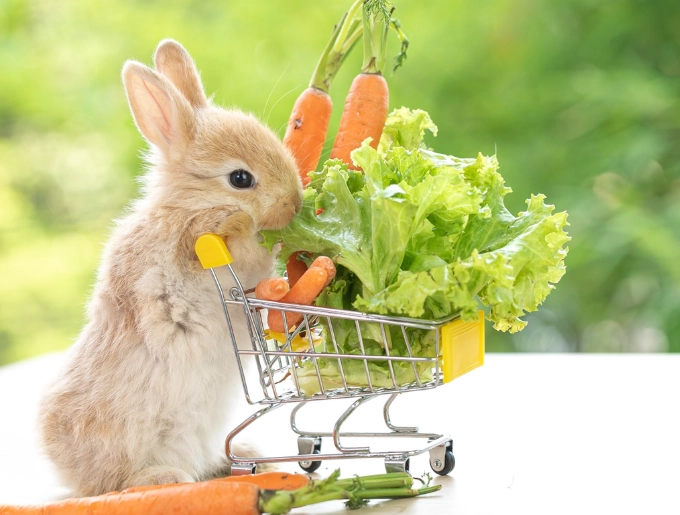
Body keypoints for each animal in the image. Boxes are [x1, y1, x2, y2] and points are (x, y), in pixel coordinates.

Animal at [37, 39, 303, 497]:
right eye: (240, 178)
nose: (297, 203)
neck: (190, 205)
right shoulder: (197, 248)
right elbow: (244, 246)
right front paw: (242, 224)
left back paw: (249, 456)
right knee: (113, 484)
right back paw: (160, 478)